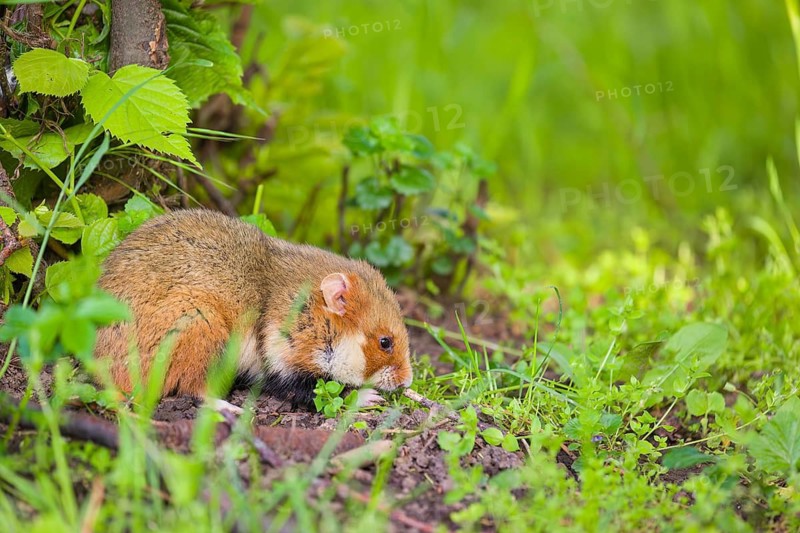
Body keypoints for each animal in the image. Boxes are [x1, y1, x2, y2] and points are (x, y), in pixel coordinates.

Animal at [94, 209, 413, 407]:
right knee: (193, 390)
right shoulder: (282, 363)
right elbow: (320, 392)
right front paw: (369, 398)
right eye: (385, 342)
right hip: (200, 324)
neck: (310, 312)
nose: (407, 383)